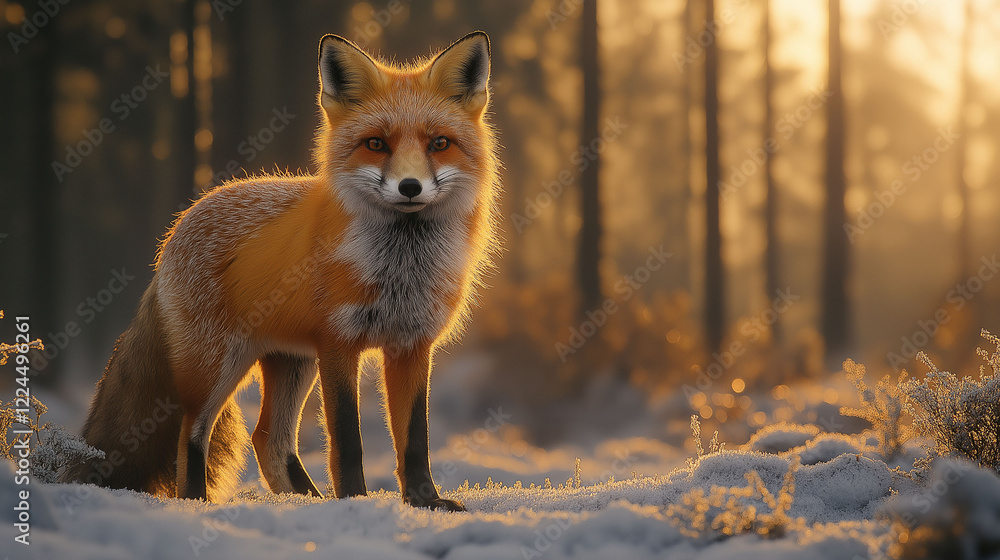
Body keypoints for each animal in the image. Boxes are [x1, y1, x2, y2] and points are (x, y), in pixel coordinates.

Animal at [61, 31, 499, 511]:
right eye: (376, 144)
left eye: (439, 143)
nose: (409, 187)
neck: (400, 267)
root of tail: (181, 223)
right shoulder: (338, 344)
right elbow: (348, 441)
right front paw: (356, 501)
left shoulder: (412, 345)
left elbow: (416, 440)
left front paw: (425, 502)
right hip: (216, 364)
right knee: (192, 433)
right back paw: (199, 501)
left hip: (291, 361)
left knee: (268, 438)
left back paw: (307, 501)